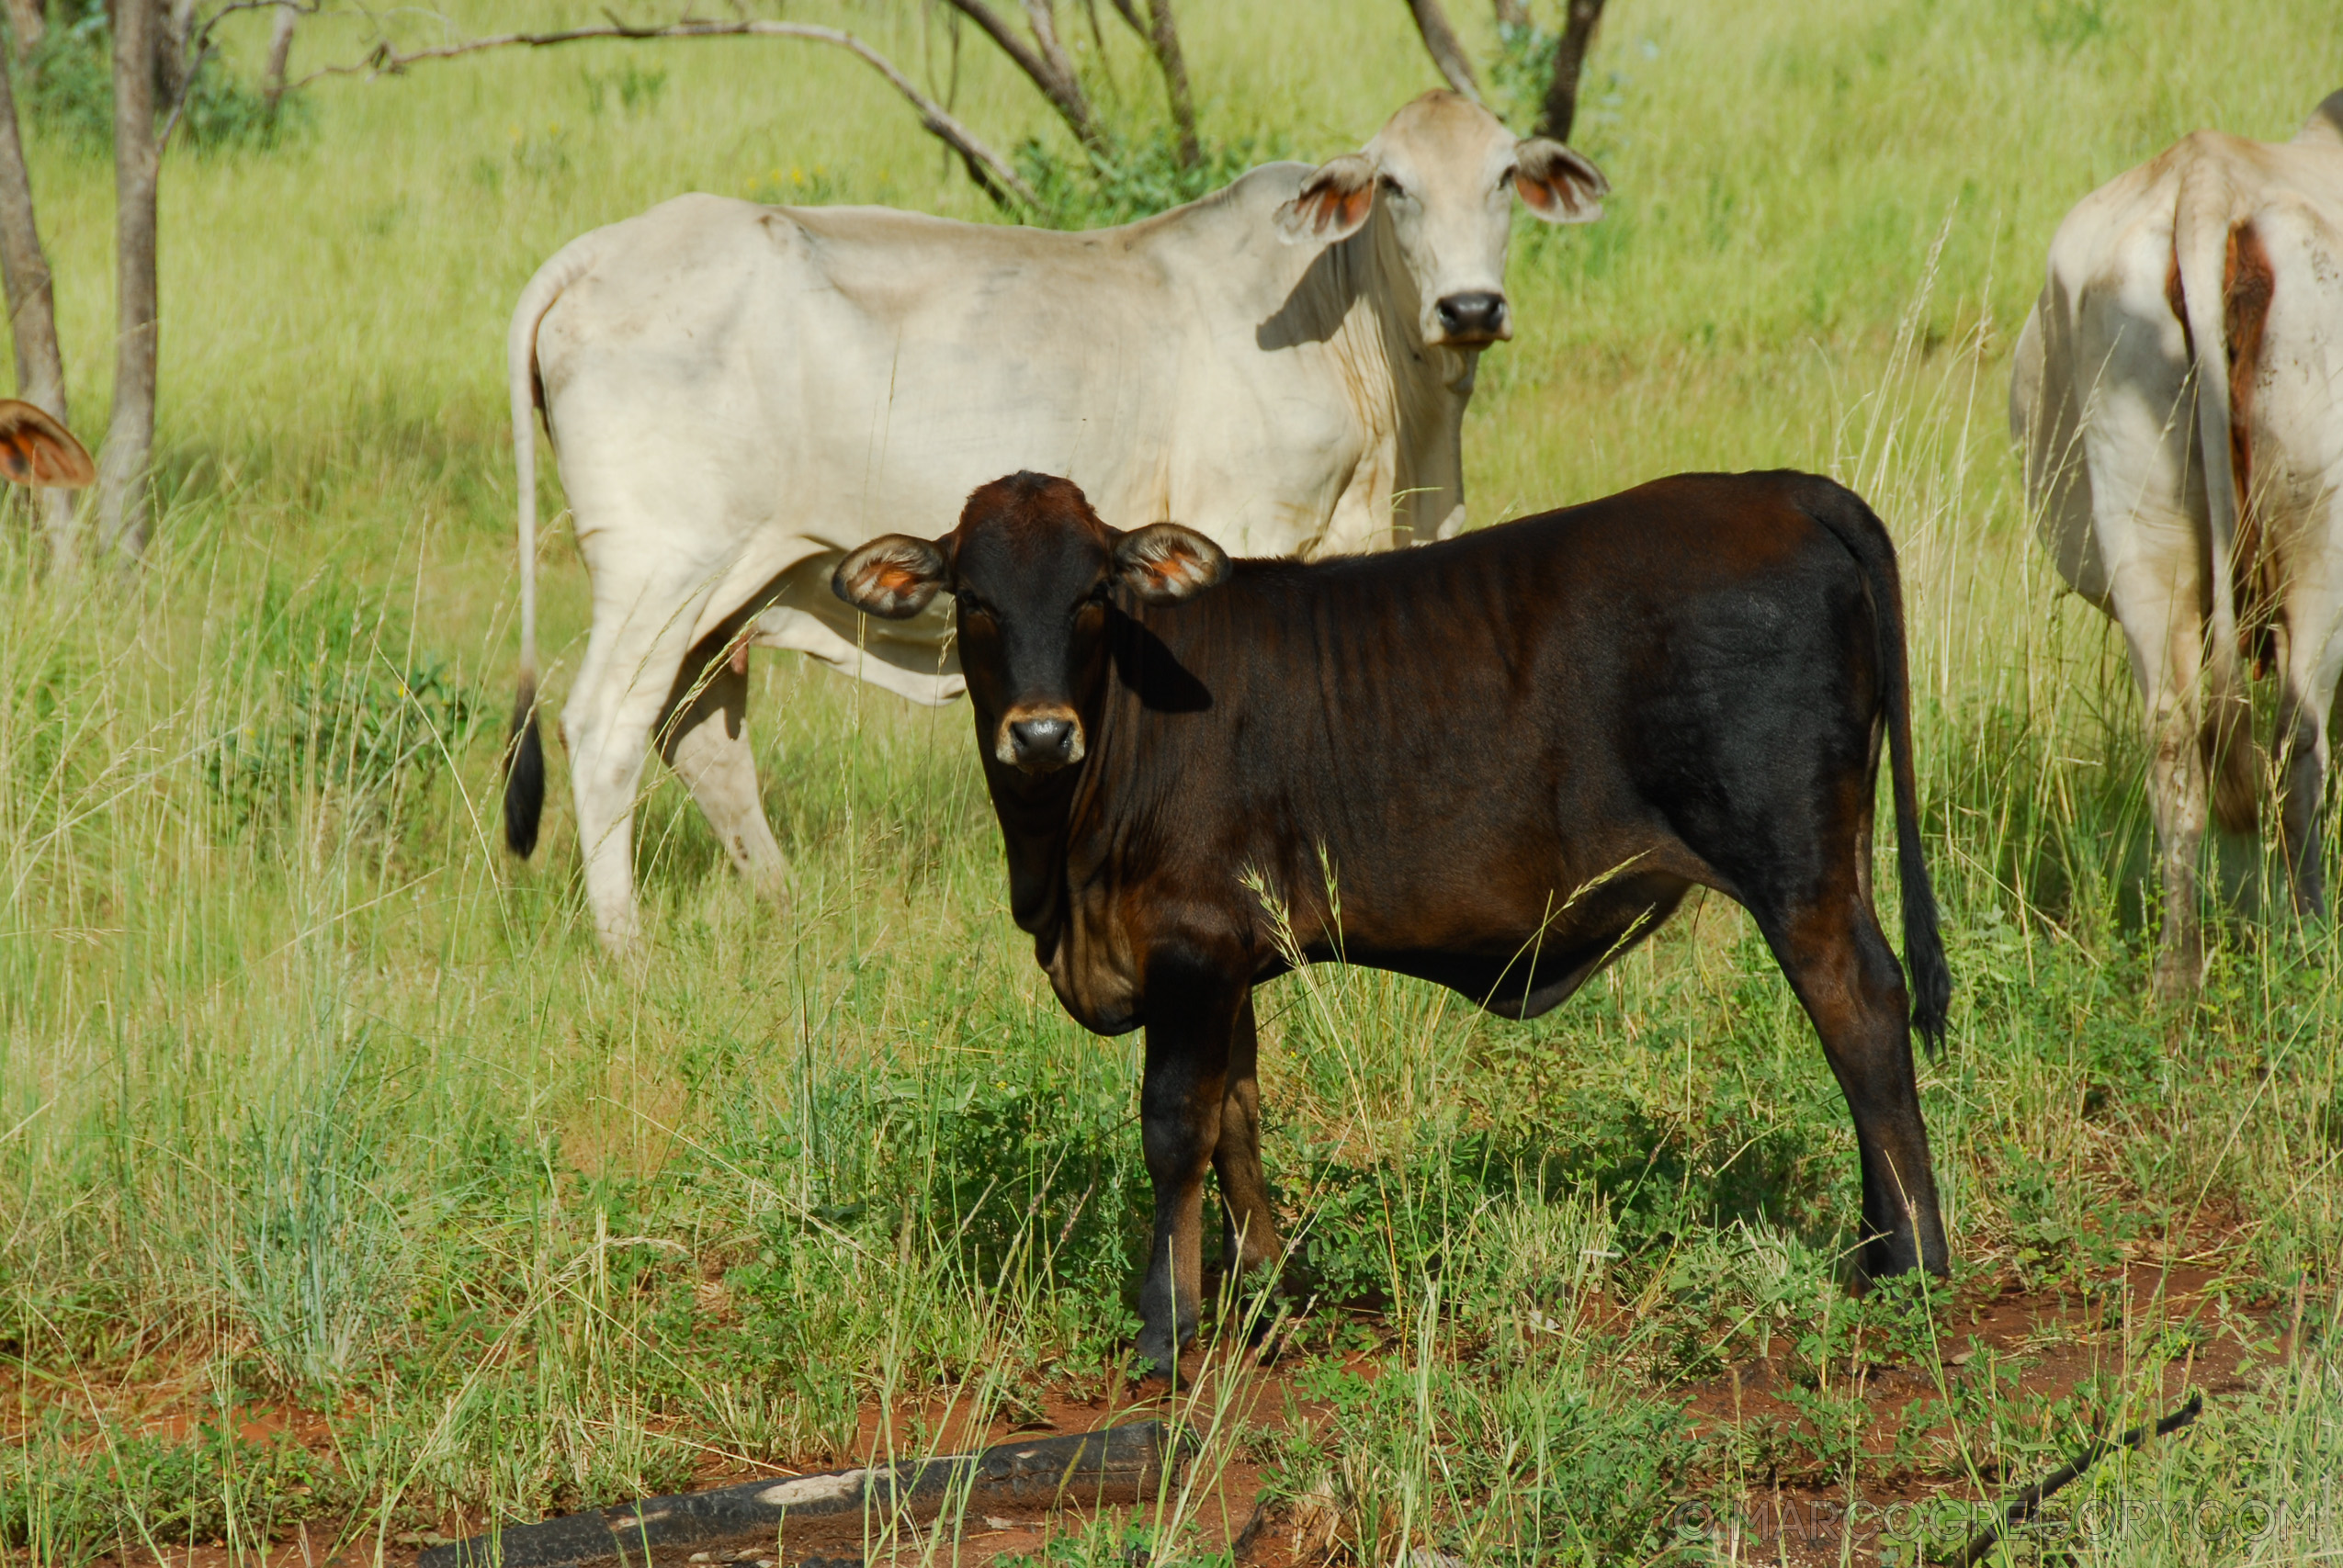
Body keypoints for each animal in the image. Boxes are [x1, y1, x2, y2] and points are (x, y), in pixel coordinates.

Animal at [505, 92, 1612, 946]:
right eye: (1393, 186)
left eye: (1504, 177)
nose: (1470, 308)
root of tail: (594, 255)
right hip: (662, 569)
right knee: (604, 729)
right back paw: (626, 950)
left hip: (734, 589)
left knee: (700, 740)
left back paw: (781, 909)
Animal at [833, 468, 1949, 1369]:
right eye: (973, 598)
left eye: (1093, 594)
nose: (1039, 733)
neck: (1062, 855)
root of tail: (1777, 486)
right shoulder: (1233, 958)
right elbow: (1238, 1118)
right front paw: (1270, 1297)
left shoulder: (1191, 947)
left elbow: (1175, 1127)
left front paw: (1167, 1328)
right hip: (1835, 852)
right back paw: (1873, 1250)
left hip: (1790, 861)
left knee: (1862, 1013)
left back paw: (1915, 1265)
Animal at [2015, 88, 2343, 988]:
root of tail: (2204, 182)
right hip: (2322, 538)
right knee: (2298, 741)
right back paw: (2310, 938)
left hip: (2142, 532)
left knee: (2176, 747)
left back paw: (2175, 975)